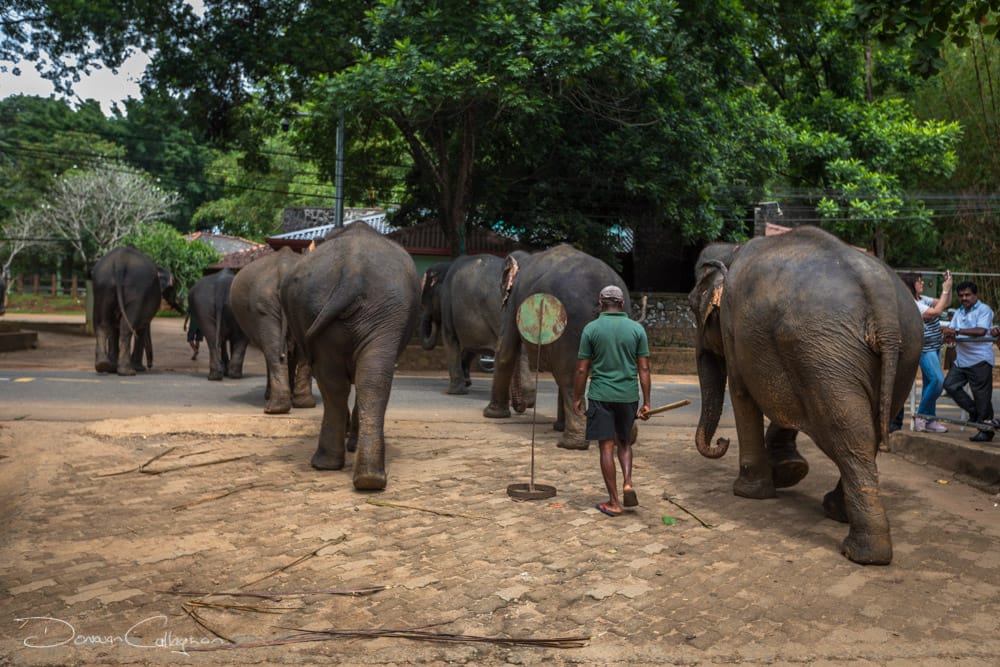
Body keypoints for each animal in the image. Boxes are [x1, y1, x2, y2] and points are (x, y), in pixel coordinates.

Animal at [92, 246, 176, 376]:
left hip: (102, 286)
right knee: (126, 326)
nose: (150, 366)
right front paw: (139, 368)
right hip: (137, 289)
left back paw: (104, 366)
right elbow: (142, 328)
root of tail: (120, 261)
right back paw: (128, 371)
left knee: (102, 323)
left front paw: (113, 367)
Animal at [282, 222, 420, 491]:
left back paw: (346, 469)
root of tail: (352, 273)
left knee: (345, 382)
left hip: (364, 310)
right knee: (367, 380)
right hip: (383, 311)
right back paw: (367, 477)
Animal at [419, 254, 533, 400]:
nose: (432, 319)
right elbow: (472, 346)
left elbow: (449, 338)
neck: (447, 265)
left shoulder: (447, 303)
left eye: (425, 302)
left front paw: (455, 392)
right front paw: (466, 382)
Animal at [483, 244, 630, 450]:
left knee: (568, 377)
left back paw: (571, 444)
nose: (523, 406)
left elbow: (505, 350)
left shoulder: (513, 300)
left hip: (570, 325)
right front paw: (558, 426)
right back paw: (623, 439)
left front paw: (491, 414)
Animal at [688, 225, 922, 565]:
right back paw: (840, 515)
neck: (732, 249)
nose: (721, 441)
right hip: (899, 353)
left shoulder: (734, 329)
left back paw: (861, 552)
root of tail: (882, 299)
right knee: (869, 428)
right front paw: (789, 472)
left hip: (824, 350)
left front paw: (748, 491)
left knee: (846, 433)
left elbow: (742, 393)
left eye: (692, 307)